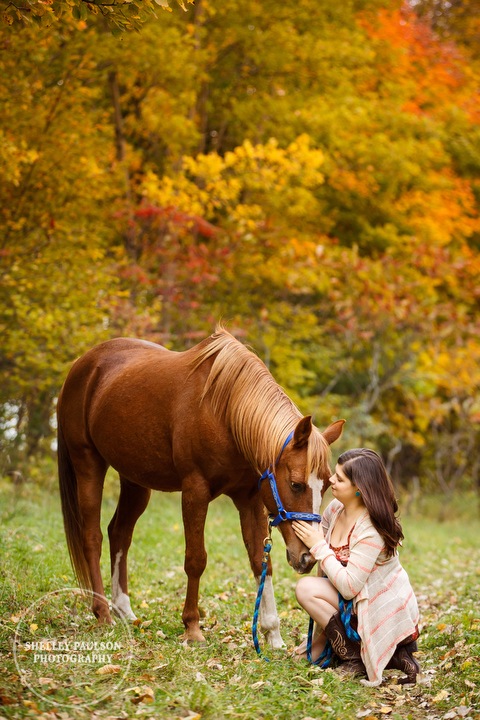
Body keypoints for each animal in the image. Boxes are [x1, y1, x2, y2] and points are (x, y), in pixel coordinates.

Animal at [57, 326, 344, 648]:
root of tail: (83, 365)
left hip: (135, 481)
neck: (225, 411)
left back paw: (125, 610)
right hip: (88, 465)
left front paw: (273, 635)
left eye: (327, 486)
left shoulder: (250, 499)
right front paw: (192, 627)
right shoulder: (195, 491)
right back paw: (103, 613)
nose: (307, 557)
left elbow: (260, 561)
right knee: (92, 537)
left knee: (119, 533)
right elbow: (196, 560)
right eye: (296, 484)